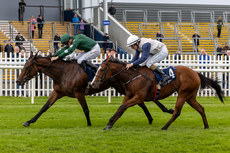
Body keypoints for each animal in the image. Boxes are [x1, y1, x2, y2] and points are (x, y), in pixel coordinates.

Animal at [16, 52, 173, 127]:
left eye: (28, 67)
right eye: (23, 66)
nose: (18, 81)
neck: (63, 72)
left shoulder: (79, 92)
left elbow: (85, 109)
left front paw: (89, 124)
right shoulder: (58, 92)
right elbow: (44, 108)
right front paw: (28, 121)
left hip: (123, 87)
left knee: (145, 99)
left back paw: (167, 110)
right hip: (122, 88)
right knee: (141, 102)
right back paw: (152, 118)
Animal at [90, 56, 224, 130]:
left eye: (101, 69)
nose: (92, 84)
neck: (132, 76)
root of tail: (196, 73)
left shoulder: (139, 97)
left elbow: (122, 107)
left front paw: (109, 123)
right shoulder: (129, 95)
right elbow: (121, 108)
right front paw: (109, 124)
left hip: (183, 94)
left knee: (177, 112)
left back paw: (164, 127)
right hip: (190, 96)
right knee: (201, 108)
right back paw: (206, 126)